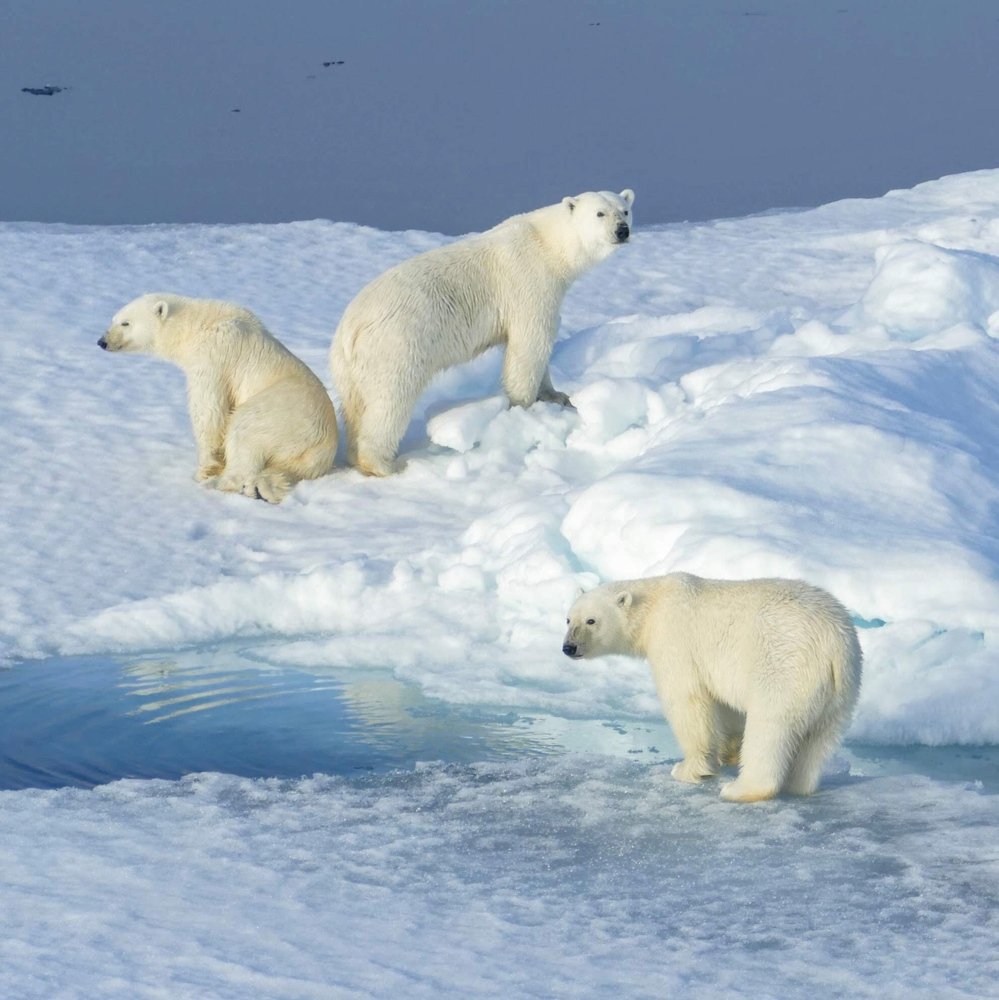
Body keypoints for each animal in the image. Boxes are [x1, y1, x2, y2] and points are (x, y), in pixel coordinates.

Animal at [99, 293, 338, 503]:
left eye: (126, 323)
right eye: (114, 319)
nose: (102, 341)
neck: (197, 325)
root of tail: (324, 445)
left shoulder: (214, 355)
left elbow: (209, 411)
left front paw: (204, 472)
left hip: (282, 415)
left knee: (245, 430)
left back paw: (224, 484)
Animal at [330, 189, 635, 476]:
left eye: (625, 210)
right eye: (599, 213)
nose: (622, 230)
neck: (548, 244)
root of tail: (350, 329)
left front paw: (556, 395)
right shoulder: (529, 283)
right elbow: (530, 344)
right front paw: (523, 409)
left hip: (349, 367)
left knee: (355, 405)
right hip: (396, 344)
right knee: (389, 400)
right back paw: (382, 464)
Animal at [563, 573, 862, 802]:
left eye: (591, 620)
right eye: (568, 618)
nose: (569, 647)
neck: (655, 604)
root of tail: (833, 643)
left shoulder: (674, 640)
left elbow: (687, 700)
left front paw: (689, 769)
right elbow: (725, 707)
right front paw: (728, 752)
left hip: (784, 667)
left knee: (770, 727)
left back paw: (740, 789)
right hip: (843, 689)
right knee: (820, 739)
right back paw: (799, 785)